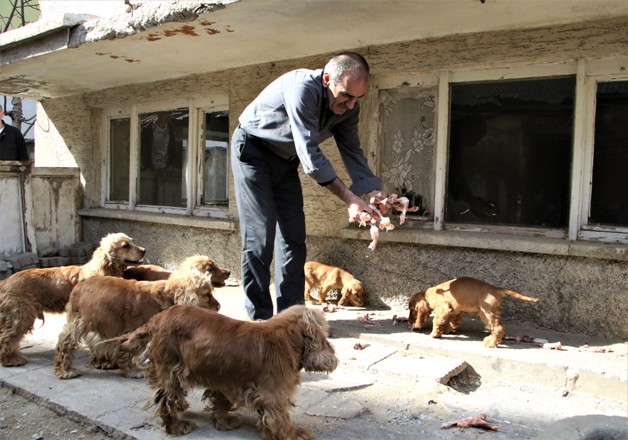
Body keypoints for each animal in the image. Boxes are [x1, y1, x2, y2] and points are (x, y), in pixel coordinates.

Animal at [0, 232, 144, 366]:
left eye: (132, 241)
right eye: (125, 245)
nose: (143, 250)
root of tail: (5, 282)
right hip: (22, 314)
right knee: (7, 337)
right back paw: (11, 359)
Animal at [54, 262, 221, 378]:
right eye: (207, 294)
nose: (219, 306)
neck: (168, 295)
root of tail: (79, 286)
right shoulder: (135, 332)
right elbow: (130, 350)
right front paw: (133, 371)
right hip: (81, 322)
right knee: (65, 342)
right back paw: (65, 371)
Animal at [114, 304, 336, 438]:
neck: (287, 335)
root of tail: (157, 318)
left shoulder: (225, 379)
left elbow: (221, 402)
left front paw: (224, 421)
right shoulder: (273, 394)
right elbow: (280, 418)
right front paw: (294, 433)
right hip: (170, 370)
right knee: (165, 400)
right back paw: (177, 426)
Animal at [408, 278, 540, 348]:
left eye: (411, 309)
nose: (409, 322)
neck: (426, 294)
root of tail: (495, 289)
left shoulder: (443, 308)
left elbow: (437, 321)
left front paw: (434, 334)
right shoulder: (456, 310)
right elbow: (453, 321)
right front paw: (448, 330)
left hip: (486, 313)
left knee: (498, 328)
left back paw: (490, 342)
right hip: (493, 312)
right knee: (500, 327)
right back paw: (496, 341)